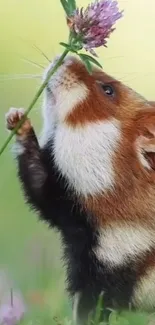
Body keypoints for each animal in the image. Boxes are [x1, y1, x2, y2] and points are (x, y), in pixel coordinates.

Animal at [5, 55, 155, 322]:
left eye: (108, 90)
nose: (64, 57)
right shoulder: (68, 210)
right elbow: (38, 178)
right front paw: (16, 117)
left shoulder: (105, 268)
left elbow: (88, 312)